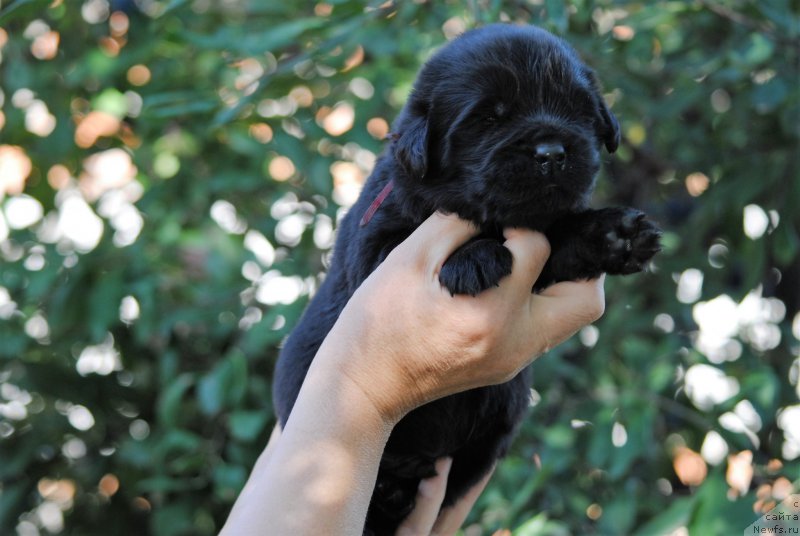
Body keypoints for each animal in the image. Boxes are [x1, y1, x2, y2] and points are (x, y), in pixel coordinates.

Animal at [272, 24, 660, 532]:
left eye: (577, 111)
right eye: (490, 119)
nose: (552, 152)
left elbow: (561, 237)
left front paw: (616, 234)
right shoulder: (375, 248)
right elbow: (407, 245)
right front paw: (473, 257)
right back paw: (389, 493)